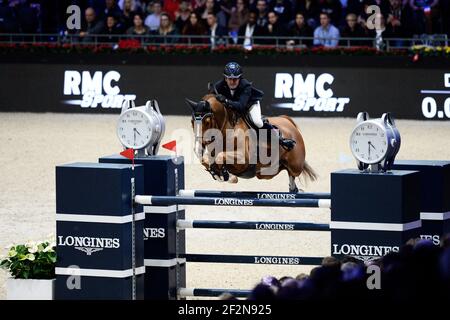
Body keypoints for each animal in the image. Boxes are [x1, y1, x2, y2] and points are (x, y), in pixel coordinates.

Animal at [185, 93, 318, 192]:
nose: (198, 148)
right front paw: (219, 173)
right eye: (191, 121)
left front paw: (228, 176)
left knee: (293, 173)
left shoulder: (243, 159)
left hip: (295, 165)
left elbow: (220, 157)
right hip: (267, 172)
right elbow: (206, 160)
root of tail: (288, 121)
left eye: (207, 122)